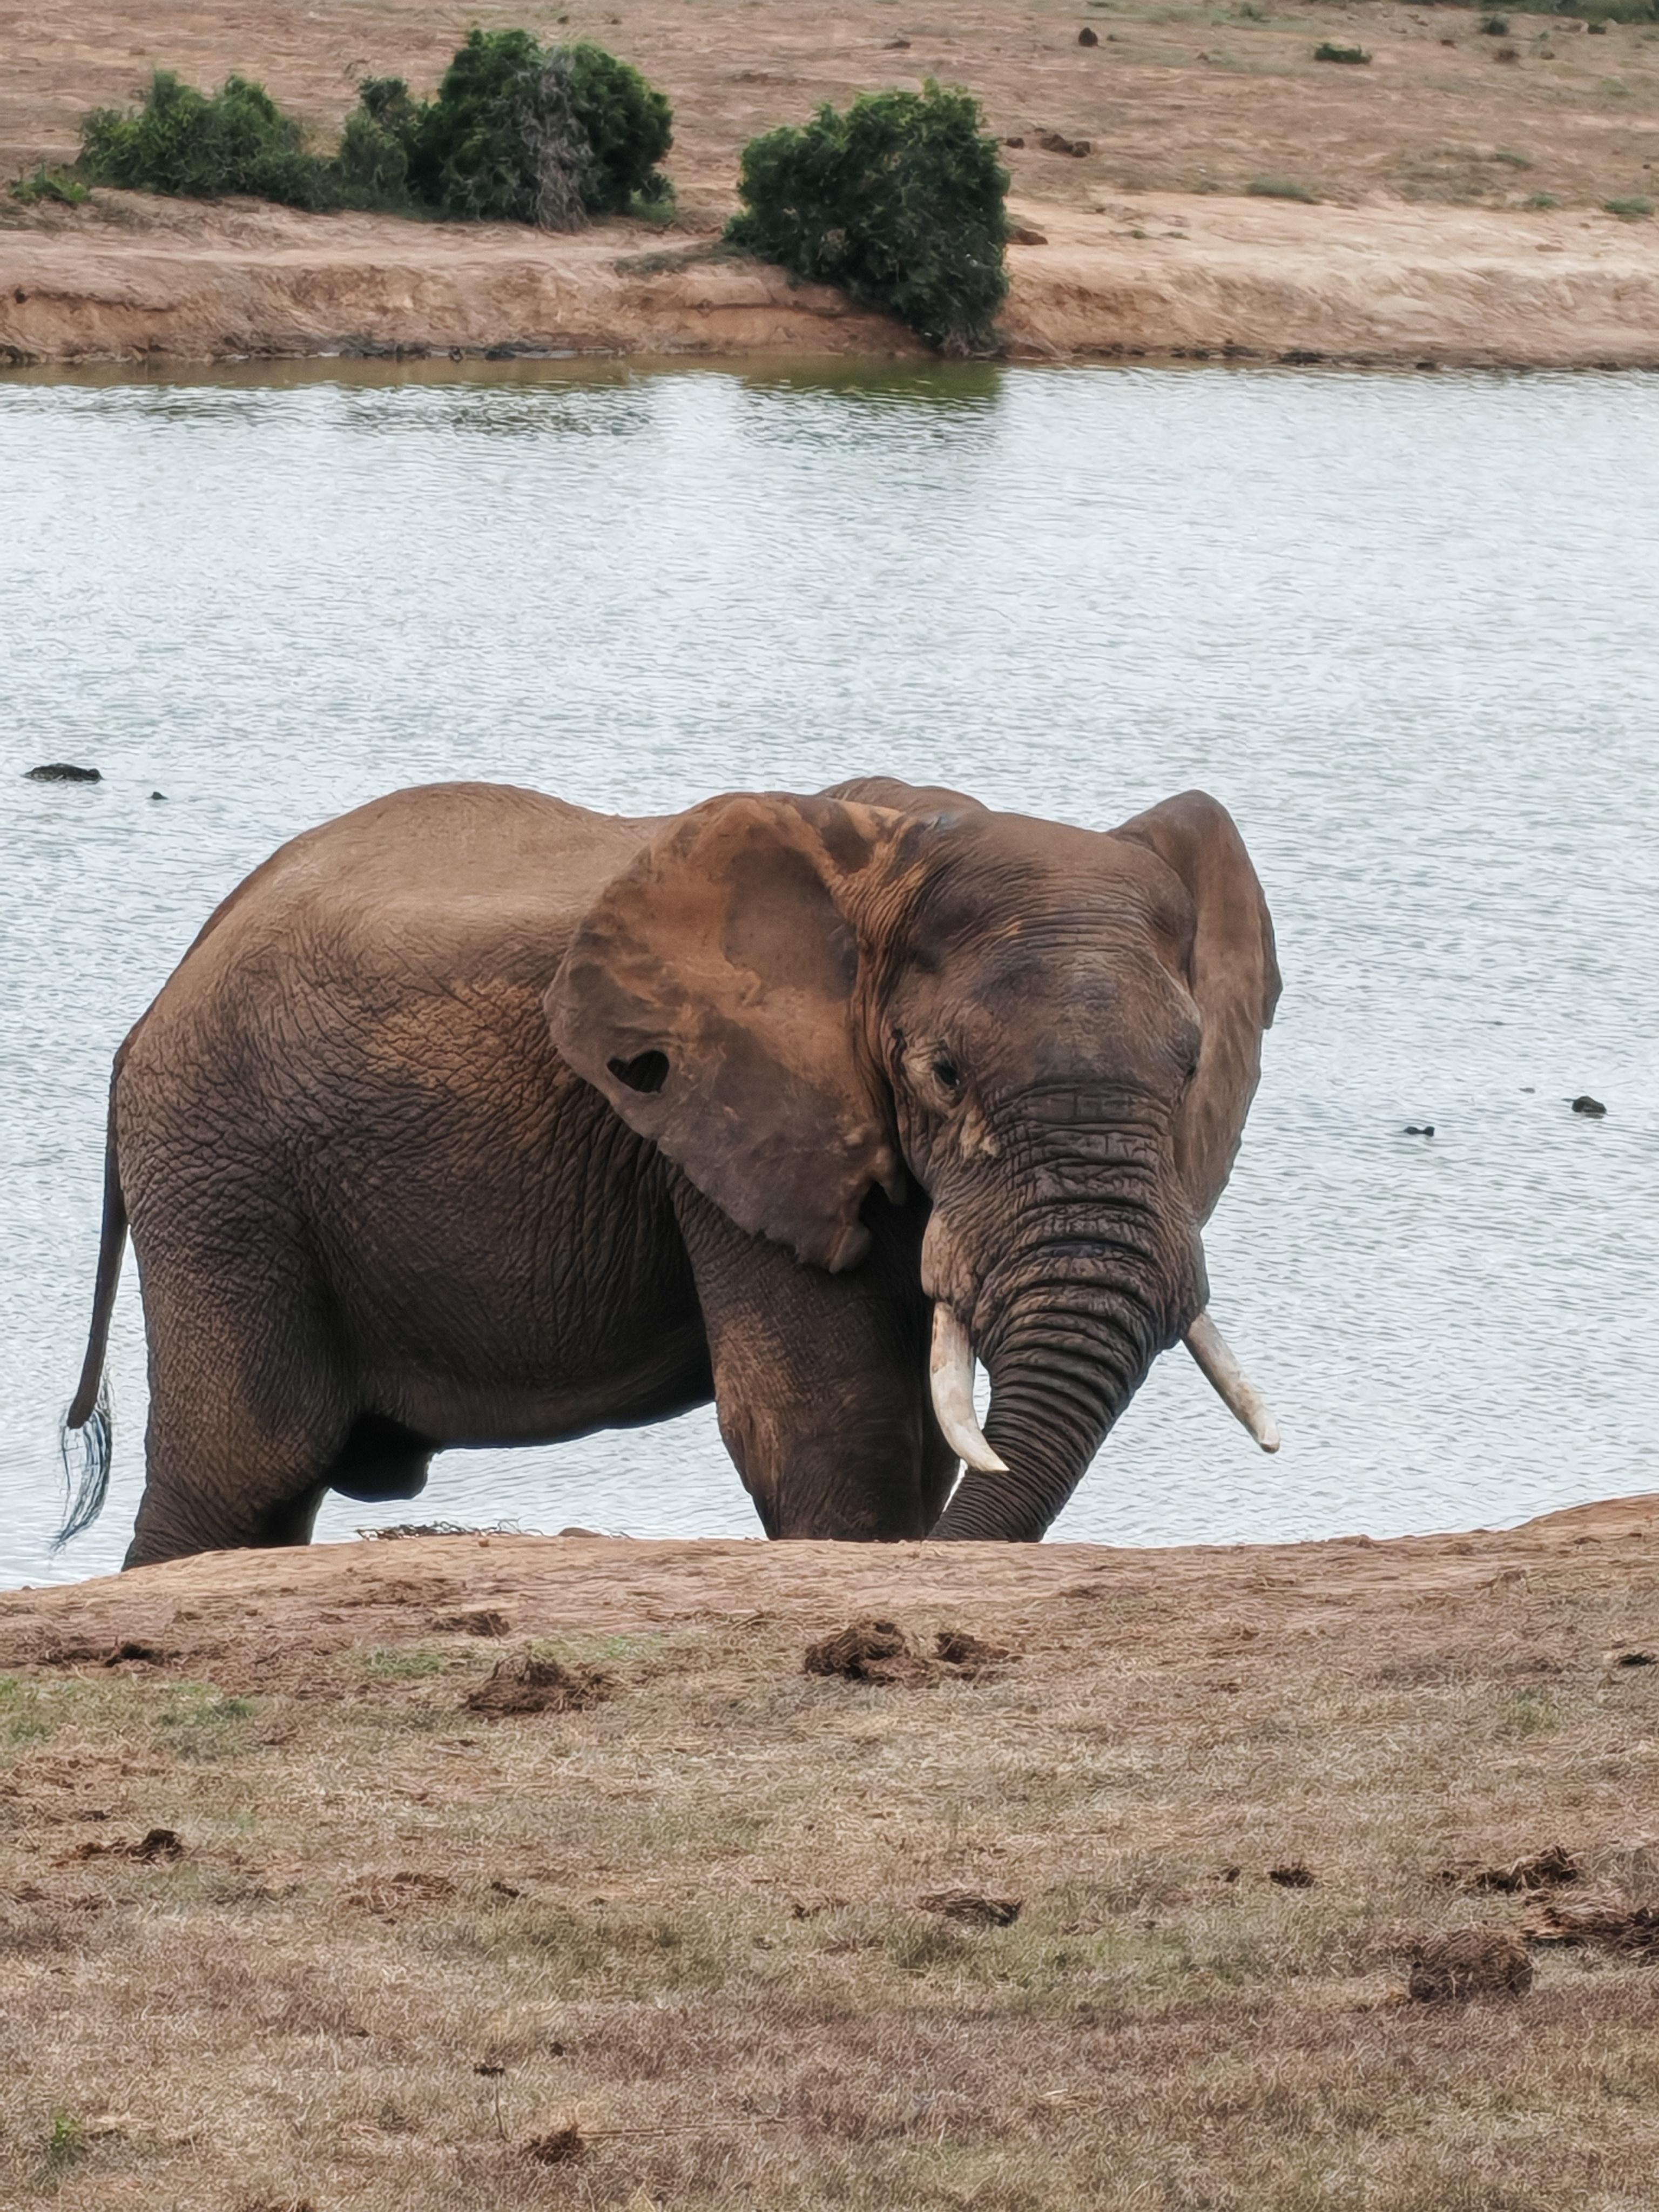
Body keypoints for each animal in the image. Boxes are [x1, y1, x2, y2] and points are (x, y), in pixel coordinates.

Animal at [61, 775, 1280, 1565]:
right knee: (240, 1473)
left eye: (1190, 1068)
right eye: (942, 1072)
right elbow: (829, 1424)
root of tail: (148, 1013)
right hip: (224, 1167)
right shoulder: (729, 1121)